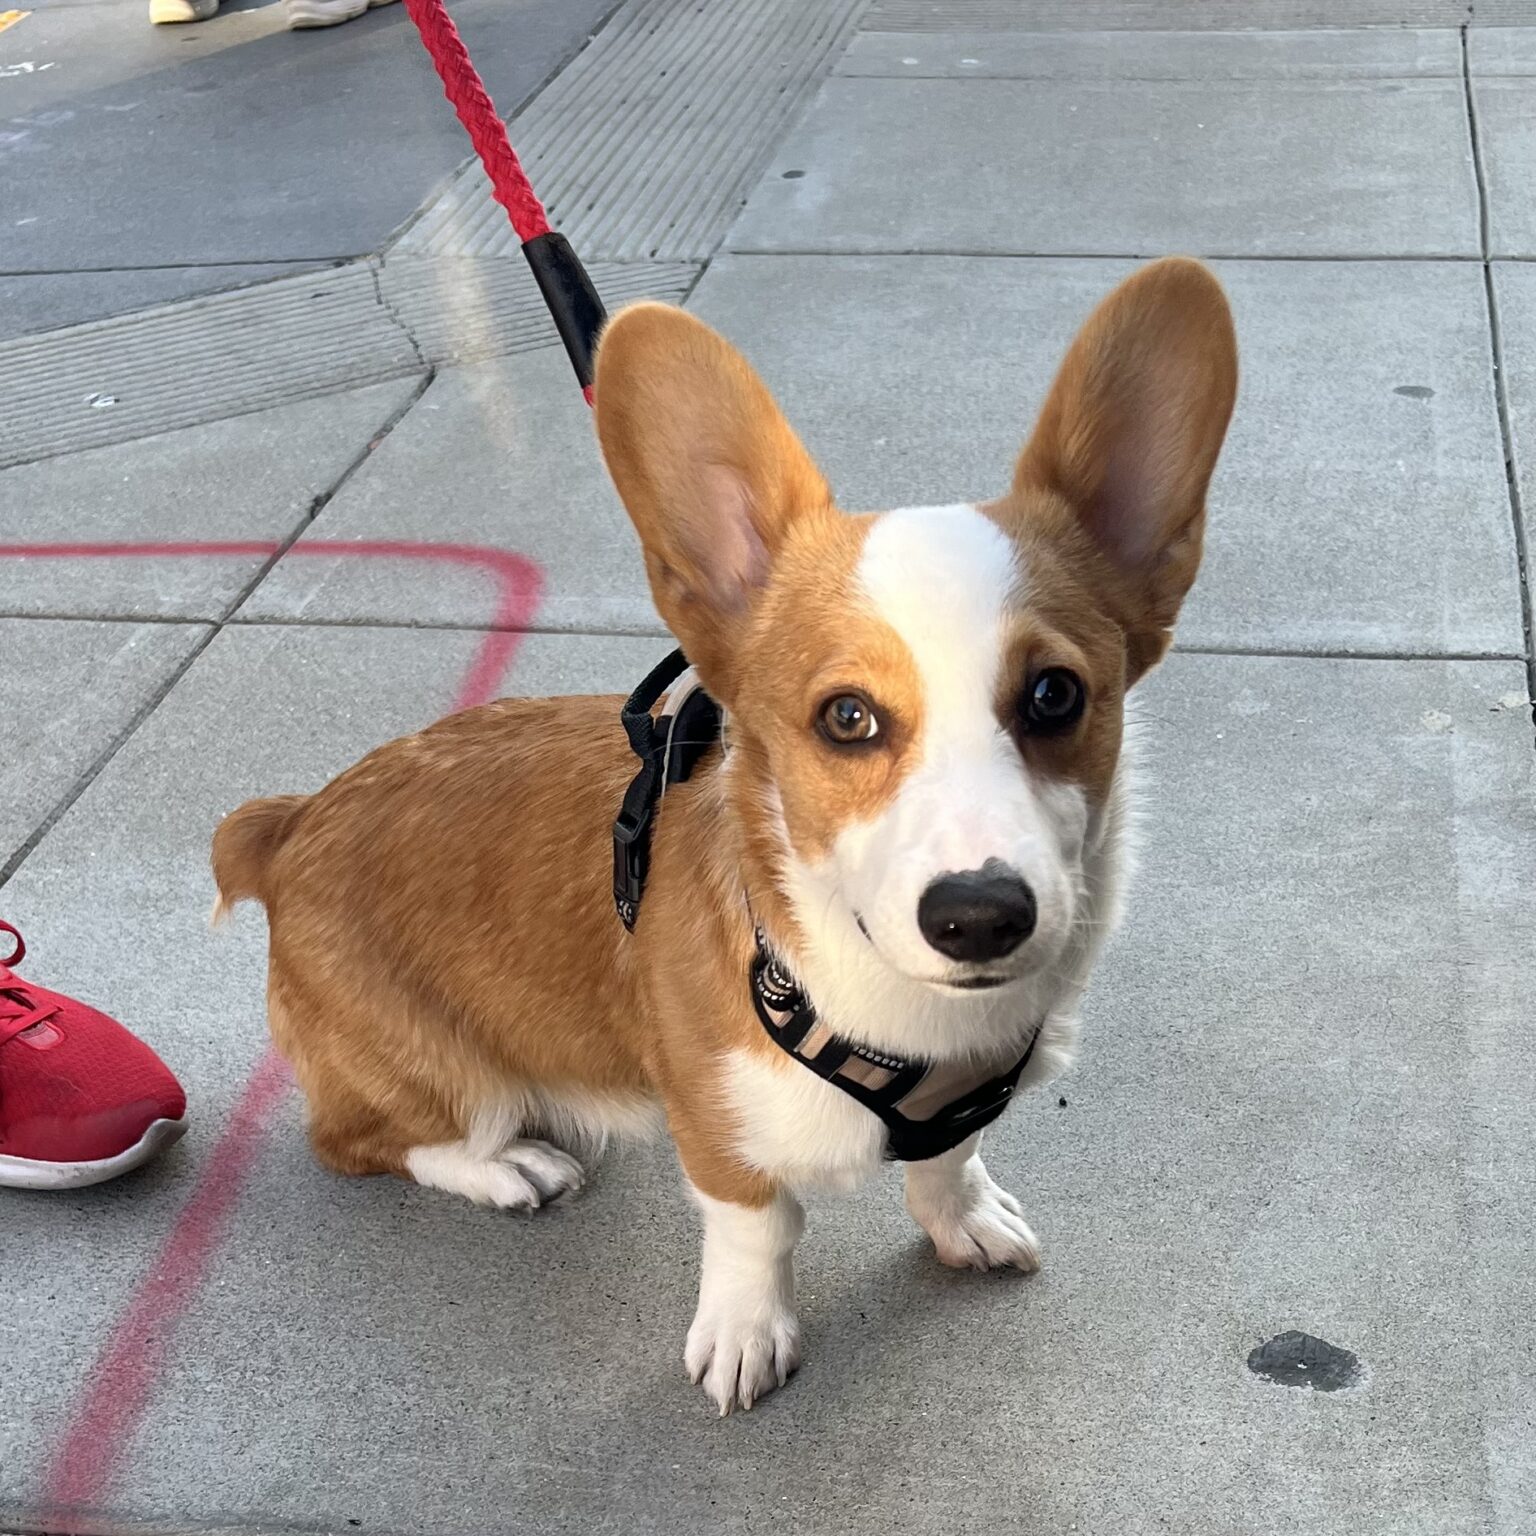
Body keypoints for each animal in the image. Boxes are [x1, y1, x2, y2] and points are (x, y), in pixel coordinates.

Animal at [210, 254, 1234, 1413]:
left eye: (1057, 695)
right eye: (847, 717)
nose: (979, 918)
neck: (899, 1011)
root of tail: (289, 827)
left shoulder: (956, 1111)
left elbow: (946, 1162)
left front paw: (963, 1221)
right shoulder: (718, 1133)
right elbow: (758, 1230)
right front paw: (746, 1334)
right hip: (443, 1076)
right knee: (364, 1139)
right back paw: (508, 1167)